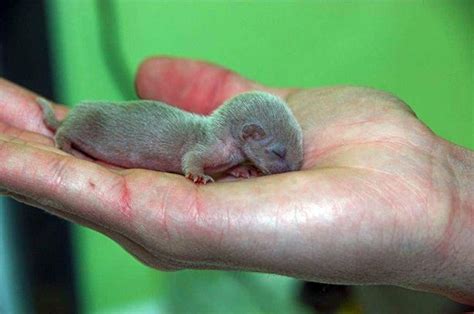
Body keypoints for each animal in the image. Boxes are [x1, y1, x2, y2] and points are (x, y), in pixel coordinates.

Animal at [37, 90, 304, 184]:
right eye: (278, 152)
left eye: (300, 144)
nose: (295, 168)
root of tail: (69, 115)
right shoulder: (205, 146)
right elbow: (191, 157)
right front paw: (198, 175)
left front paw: (242, 170)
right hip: (82, 124)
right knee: (63, 131)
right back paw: (65, 144)